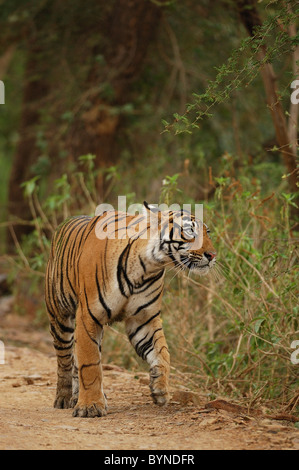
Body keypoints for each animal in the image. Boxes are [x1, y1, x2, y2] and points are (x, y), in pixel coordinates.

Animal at [44, 200, 217, 416]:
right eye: (189, 231)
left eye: (207, 232)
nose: (212, 255)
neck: (147, 267)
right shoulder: (88, 316)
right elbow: (90, 364)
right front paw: (90, 406)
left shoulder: (143, 320)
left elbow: (162, 352)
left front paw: (160, 389)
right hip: (60, 317)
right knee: (65, 359)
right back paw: (65, 397)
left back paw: (80, 397)